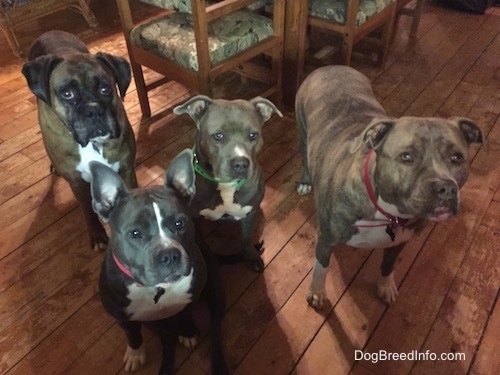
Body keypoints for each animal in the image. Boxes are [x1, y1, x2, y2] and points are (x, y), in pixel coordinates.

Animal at [21, 30, 137, 253]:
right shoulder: (76, 182)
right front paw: (98, 235)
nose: (93, 110)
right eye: (67, 94)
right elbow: (87, 210)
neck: (93, 144)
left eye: (105, 89)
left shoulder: (126, 168)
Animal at [90, 150, 229, 375]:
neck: (158, 289)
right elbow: (133, 334)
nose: (169, 255)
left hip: (215, 291)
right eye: (135, 233)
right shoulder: (123, 317)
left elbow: (185, 313)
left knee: (216, 331)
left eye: (179, 223)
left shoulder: (191, 296)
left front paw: (187, 331)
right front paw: (135, 353)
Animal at [172, 95, 282, 272]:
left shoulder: (250, 212)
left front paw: (250, 256)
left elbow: (245, 238)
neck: (226, 186)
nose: (241, 164)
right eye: (218, 136)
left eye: (253, 135)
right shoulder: (193, 219)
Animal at [294, 66, 486, 310]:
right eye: (406, 156)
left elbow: (388, 265)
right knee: (304, 157)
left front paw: (385, 287)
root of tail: (332, 67)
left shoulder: (399, 243)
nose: (446, 188)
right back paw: (305, 181)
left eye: (457, 157)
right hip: (302, 133)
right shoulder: (326, 239)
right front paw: (317, 293)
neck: (387, 213)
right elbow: (321, 268)